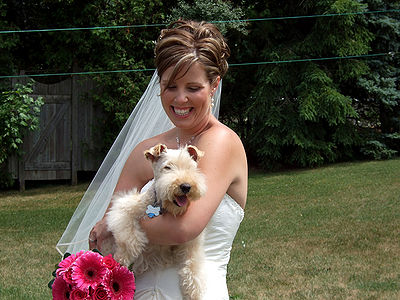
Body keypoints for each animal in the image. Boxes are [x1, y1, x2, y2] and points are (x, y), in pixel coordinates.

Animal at [105, 144, 206, 300]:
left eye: (191, 167)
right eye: (167, 167)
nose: (186, 186)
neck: (163, 207)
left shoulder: (190, 242)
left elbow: (191, 265)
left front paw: (194, 292)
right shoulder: (121, 209)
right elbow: (130, 237)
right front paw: (123, 259)